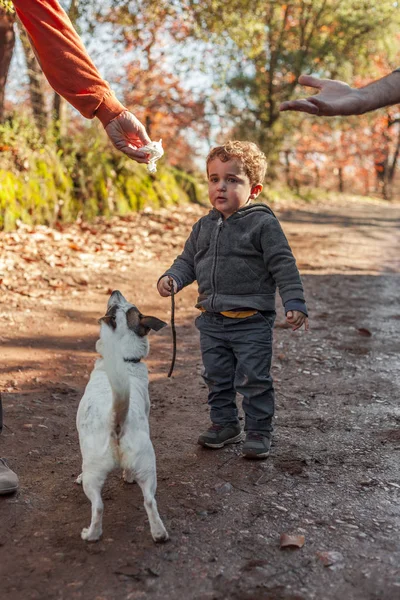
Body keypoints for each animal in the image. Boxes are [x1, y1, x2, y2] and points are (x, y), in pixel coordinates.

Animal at [76, 290, 169, 544]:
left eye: (113, 307)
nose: (115, 291)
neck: (125, 360)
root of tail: (116, 422)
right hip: (148, 468)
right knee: (150, 500)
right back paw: (159, 533)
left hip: (93, 474)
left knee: (98, 506)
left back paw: (91, 534)